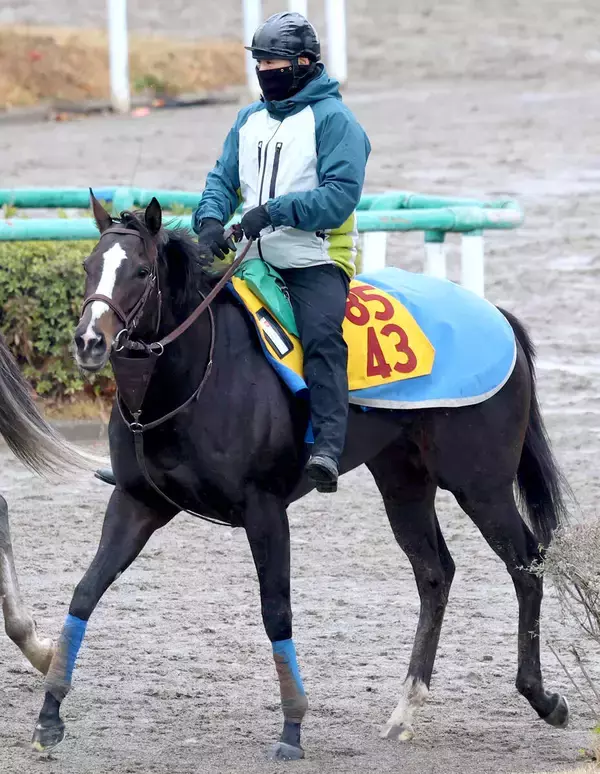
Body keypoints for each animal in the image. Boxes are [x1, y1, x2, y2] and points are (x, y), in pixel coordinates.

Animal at [29, 194, 569, 760]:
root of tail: (496, 314)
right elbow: (85, 591)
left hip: (480, 485)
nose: (89, 341)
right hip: (404, 482)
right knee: (435, 573)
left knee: (527, 565)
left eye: (140, 270)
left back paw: (543, 698)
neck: (196, 377)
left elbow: (277, 613)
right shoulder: (138, 502)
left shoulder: (264, 510)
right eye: (88, 267)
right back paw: (405, 709)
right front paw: (49, 714)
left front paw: (292, 728)